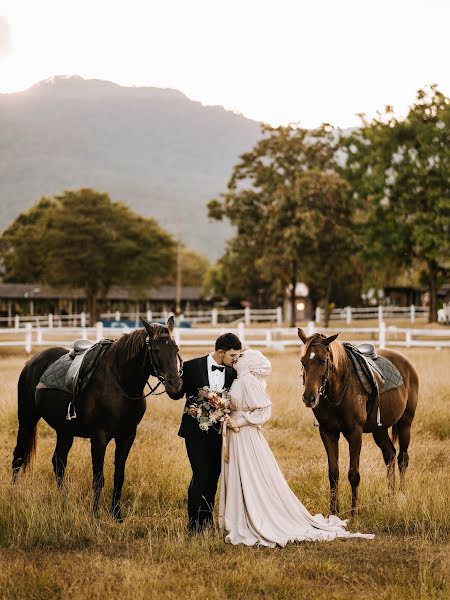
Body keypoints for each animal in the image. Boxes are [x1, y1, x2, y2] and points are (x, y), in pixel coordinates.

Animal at [298, 328, 418, 516]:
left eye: (323, 361)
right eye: (303, 361)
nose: (309, 398)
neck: (337, 389)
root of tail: (406, 363)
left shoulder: (355, 433)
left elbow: (353, 474)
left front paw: (354, 513)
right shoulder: (328, 432)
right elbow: (333, 473)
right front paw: (334, 512)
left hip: (406, 422)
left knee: (402, 459)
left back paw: (401, 495)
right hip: (379, 429)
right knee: (390, 455)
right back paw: (390, 496)